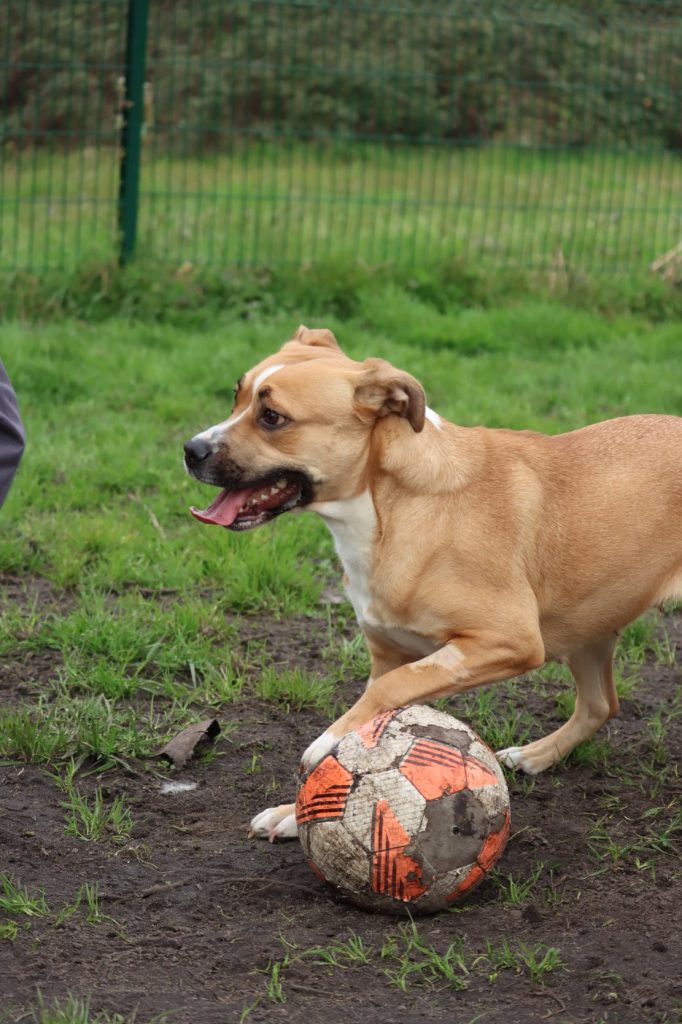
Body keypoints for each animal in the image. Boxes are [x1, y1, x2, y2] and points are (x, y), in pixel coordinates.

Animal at [184, 325, 682, 842]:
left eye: (272, 417)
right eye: (237, 396)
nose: (191, 450)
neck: (391, 506)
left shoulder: (508, 641)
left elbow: (386, 692)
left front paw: (328, 741)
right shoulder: (390, 652)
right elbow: (377, 699)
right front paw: (292, 811)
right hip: (589, 625)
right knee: (600, 704)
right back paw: (536, 755)